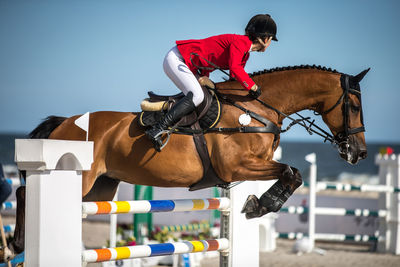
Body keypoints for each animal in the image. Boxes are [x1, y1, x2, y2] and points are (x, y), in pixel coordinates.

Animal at [7, 64, 368, 255]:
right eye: (353, 106)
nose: (359, 153)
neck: (256, 107)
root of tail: (64, 123)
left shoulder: (249, 167)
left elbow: (292, 173)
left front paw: (257, 203)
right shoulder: (237, 165)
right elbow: (293, 172)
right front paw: (260, 205)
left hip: (101, 187)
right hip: (78, 176)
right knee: (24, 191)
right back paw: (18, 243)